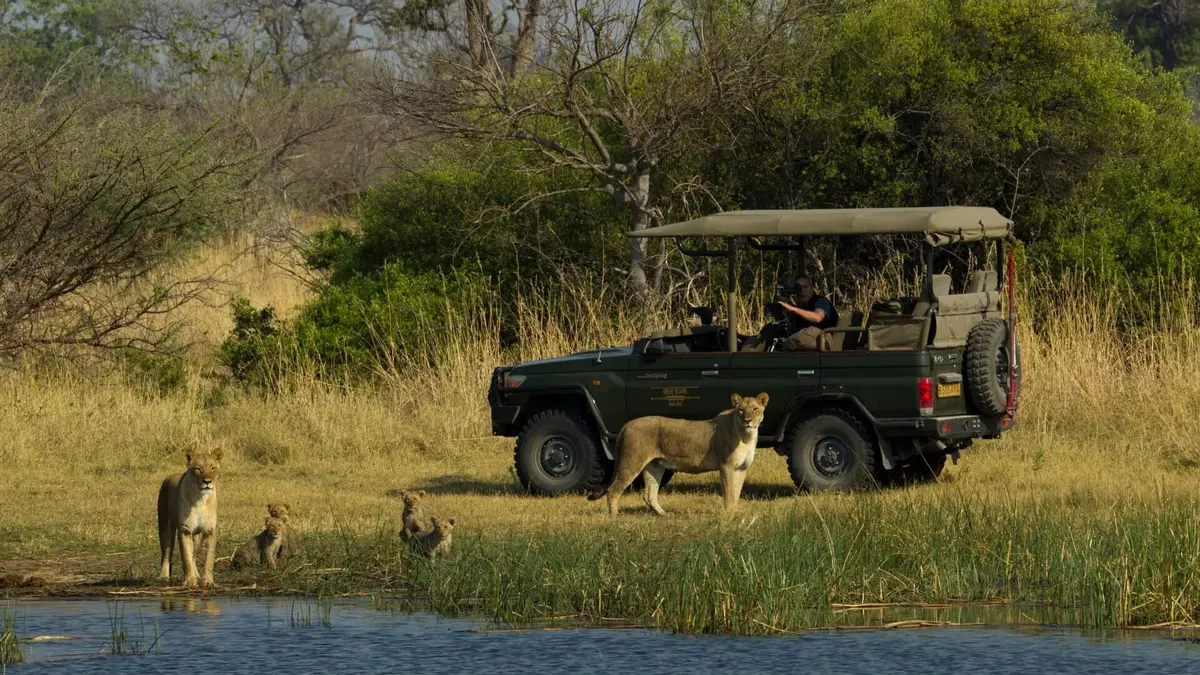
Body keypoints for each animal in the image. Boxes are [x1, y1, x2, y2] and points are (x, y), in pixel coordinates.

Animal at [157, 445, 225, 587]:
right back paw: (163, 577)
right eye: (198, 469)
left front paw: (208, 581)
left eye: (213, 468)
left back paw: (197, 575)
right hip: (165, 526)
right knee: (166, 553)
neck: (200, 499)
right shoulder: (185, 530)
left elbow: (209, 559)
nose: (207, 481)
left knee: (193, 555)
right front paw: (190, 581)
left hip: (197, 536)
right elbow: (186, 558)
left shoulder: (210, 530)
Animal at [589, 392, 769, 516]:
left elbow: (736, 492)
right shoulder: (726, 467)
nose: (747, 421)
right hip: (632, 462)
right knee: (613, 490)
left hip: (654, 467)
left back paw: (664, 514)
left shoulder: (741, 468)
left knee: (649, 495)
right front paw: (728, 514)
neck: (746, 436)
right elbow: (729, 493)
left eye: (755, 409)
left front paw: (735, 512)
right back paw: (615, 515)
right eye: (741, 411)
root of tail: (626, 425)